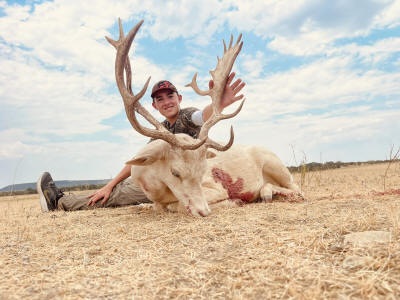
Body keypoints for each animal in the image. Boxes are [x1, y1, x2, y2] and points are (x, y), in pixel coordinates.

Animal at [105, 19, 300, 217]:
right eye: (175, 172)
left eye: (202, 171)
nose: (204, 211)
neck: (154, 187)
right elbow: (154, 206)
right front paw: (143, 205)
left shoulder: (216, 187)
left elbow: (177, 205)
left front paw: (234, 201)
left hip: (275, 165)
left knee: (296, 188)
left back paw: (265, 192)